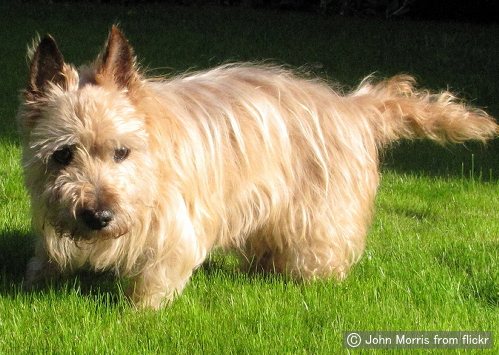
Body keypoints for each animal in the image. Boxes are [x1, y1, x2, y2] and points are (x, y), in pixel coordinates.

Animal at [17, 25, 498, 308]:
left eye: (122, 152)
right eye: (63, 154)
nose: (98, 216)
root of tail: (351, 106)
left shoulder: (177, 230)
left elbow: (153, 283)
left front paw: (137, 315)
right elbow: (47, 257)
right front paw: (33, 280)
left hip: (318, 213)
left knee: (322, 252)